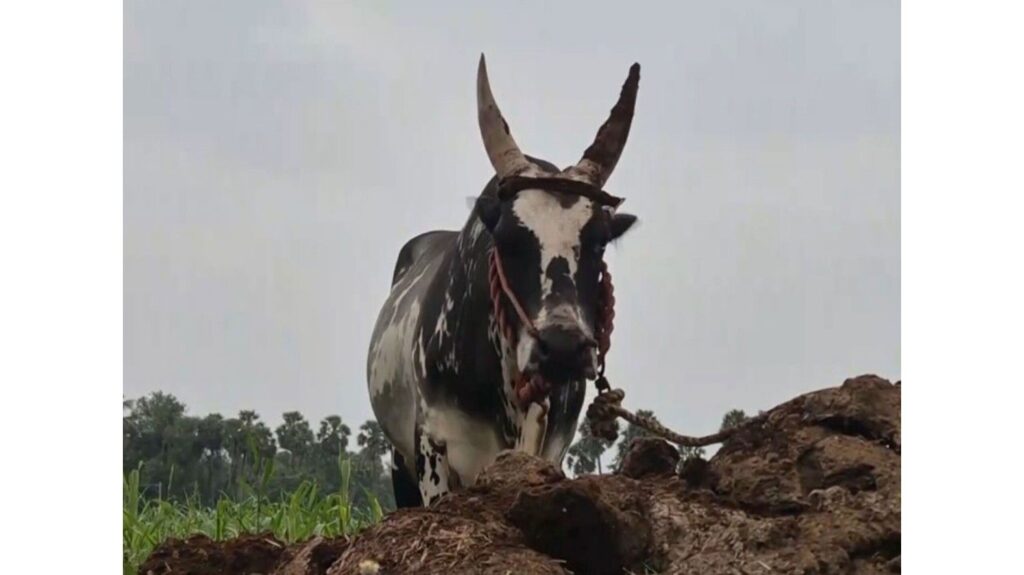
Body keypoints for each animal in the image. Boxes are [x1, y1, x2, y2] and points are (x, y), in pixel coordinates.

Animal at [366, 55, 640, 507]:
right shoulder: (431, 444)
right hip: (399, 458)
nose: (562, 348)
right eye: (508, 239)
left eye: (600, 241)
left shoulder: (552, 446)